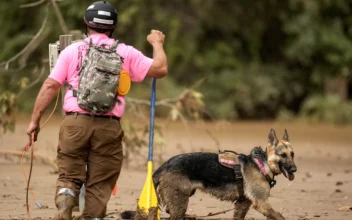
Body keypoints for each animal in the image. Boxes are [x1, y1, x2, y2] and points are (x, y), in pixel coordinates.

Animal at [152, 129, 296, 220]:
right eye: (283, 155)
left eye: (292, 154)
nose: (294, 169)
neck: (262, 164)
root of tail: (165, 164)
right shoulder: (261, 203)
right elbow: (280, 216)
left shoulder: (243, 205)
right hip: (180, 205)